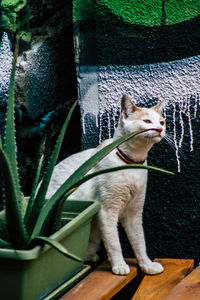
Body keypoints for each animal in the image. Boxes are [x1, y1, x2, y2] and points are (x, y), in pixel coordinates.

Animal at [46, 95, 166, 276]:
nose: (160, 129)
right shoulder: (107, 210)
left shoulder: (134, 211)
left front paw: (147, 265)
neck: (132, 164)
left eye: (162, 122)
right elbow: (114, 243)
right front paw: (120, 266)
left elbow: (139, 242)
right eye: (147, 121)